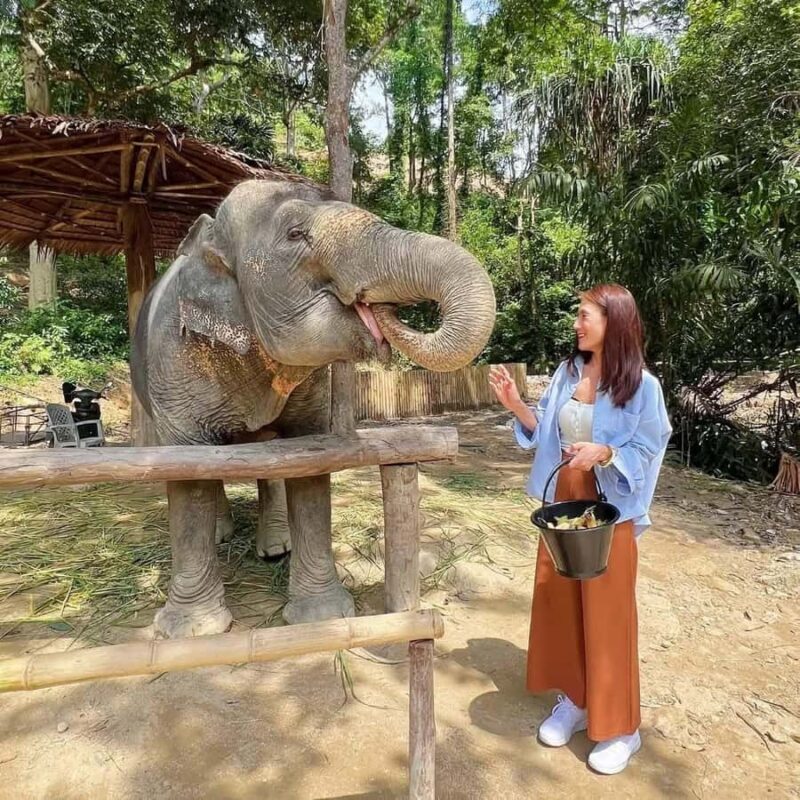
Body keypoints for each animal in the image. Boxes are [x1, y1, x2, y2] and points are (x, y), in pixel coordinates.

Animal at [131, 178, 496, 638]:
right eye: (294, 234)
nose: (380, 311)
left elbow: (308, 465)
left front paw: (323, 614)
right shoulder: (173, 365)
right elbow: (188, 477)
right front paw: (192, 631)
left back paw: (275, 547)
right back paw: (221, 535)